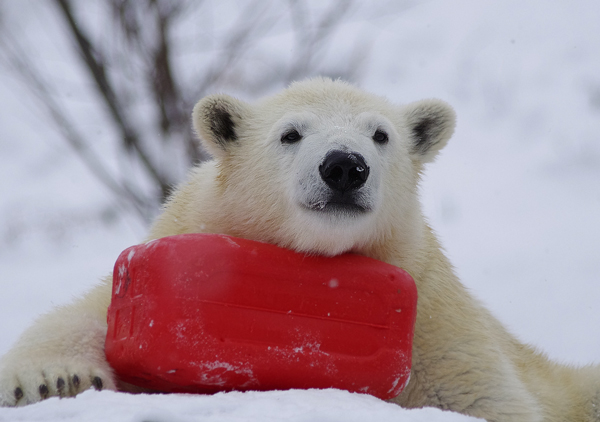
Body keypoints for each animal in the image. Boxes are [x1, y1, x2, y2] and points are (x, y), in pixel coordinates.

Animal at [1, 78, 600, 418]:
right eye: (291, 134)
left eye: (380, 134)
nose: (344, 166)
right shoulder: (179, 233)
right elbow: (85, 314)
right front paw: (52, 378)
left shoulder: (433, 315)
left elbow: (483, 396)